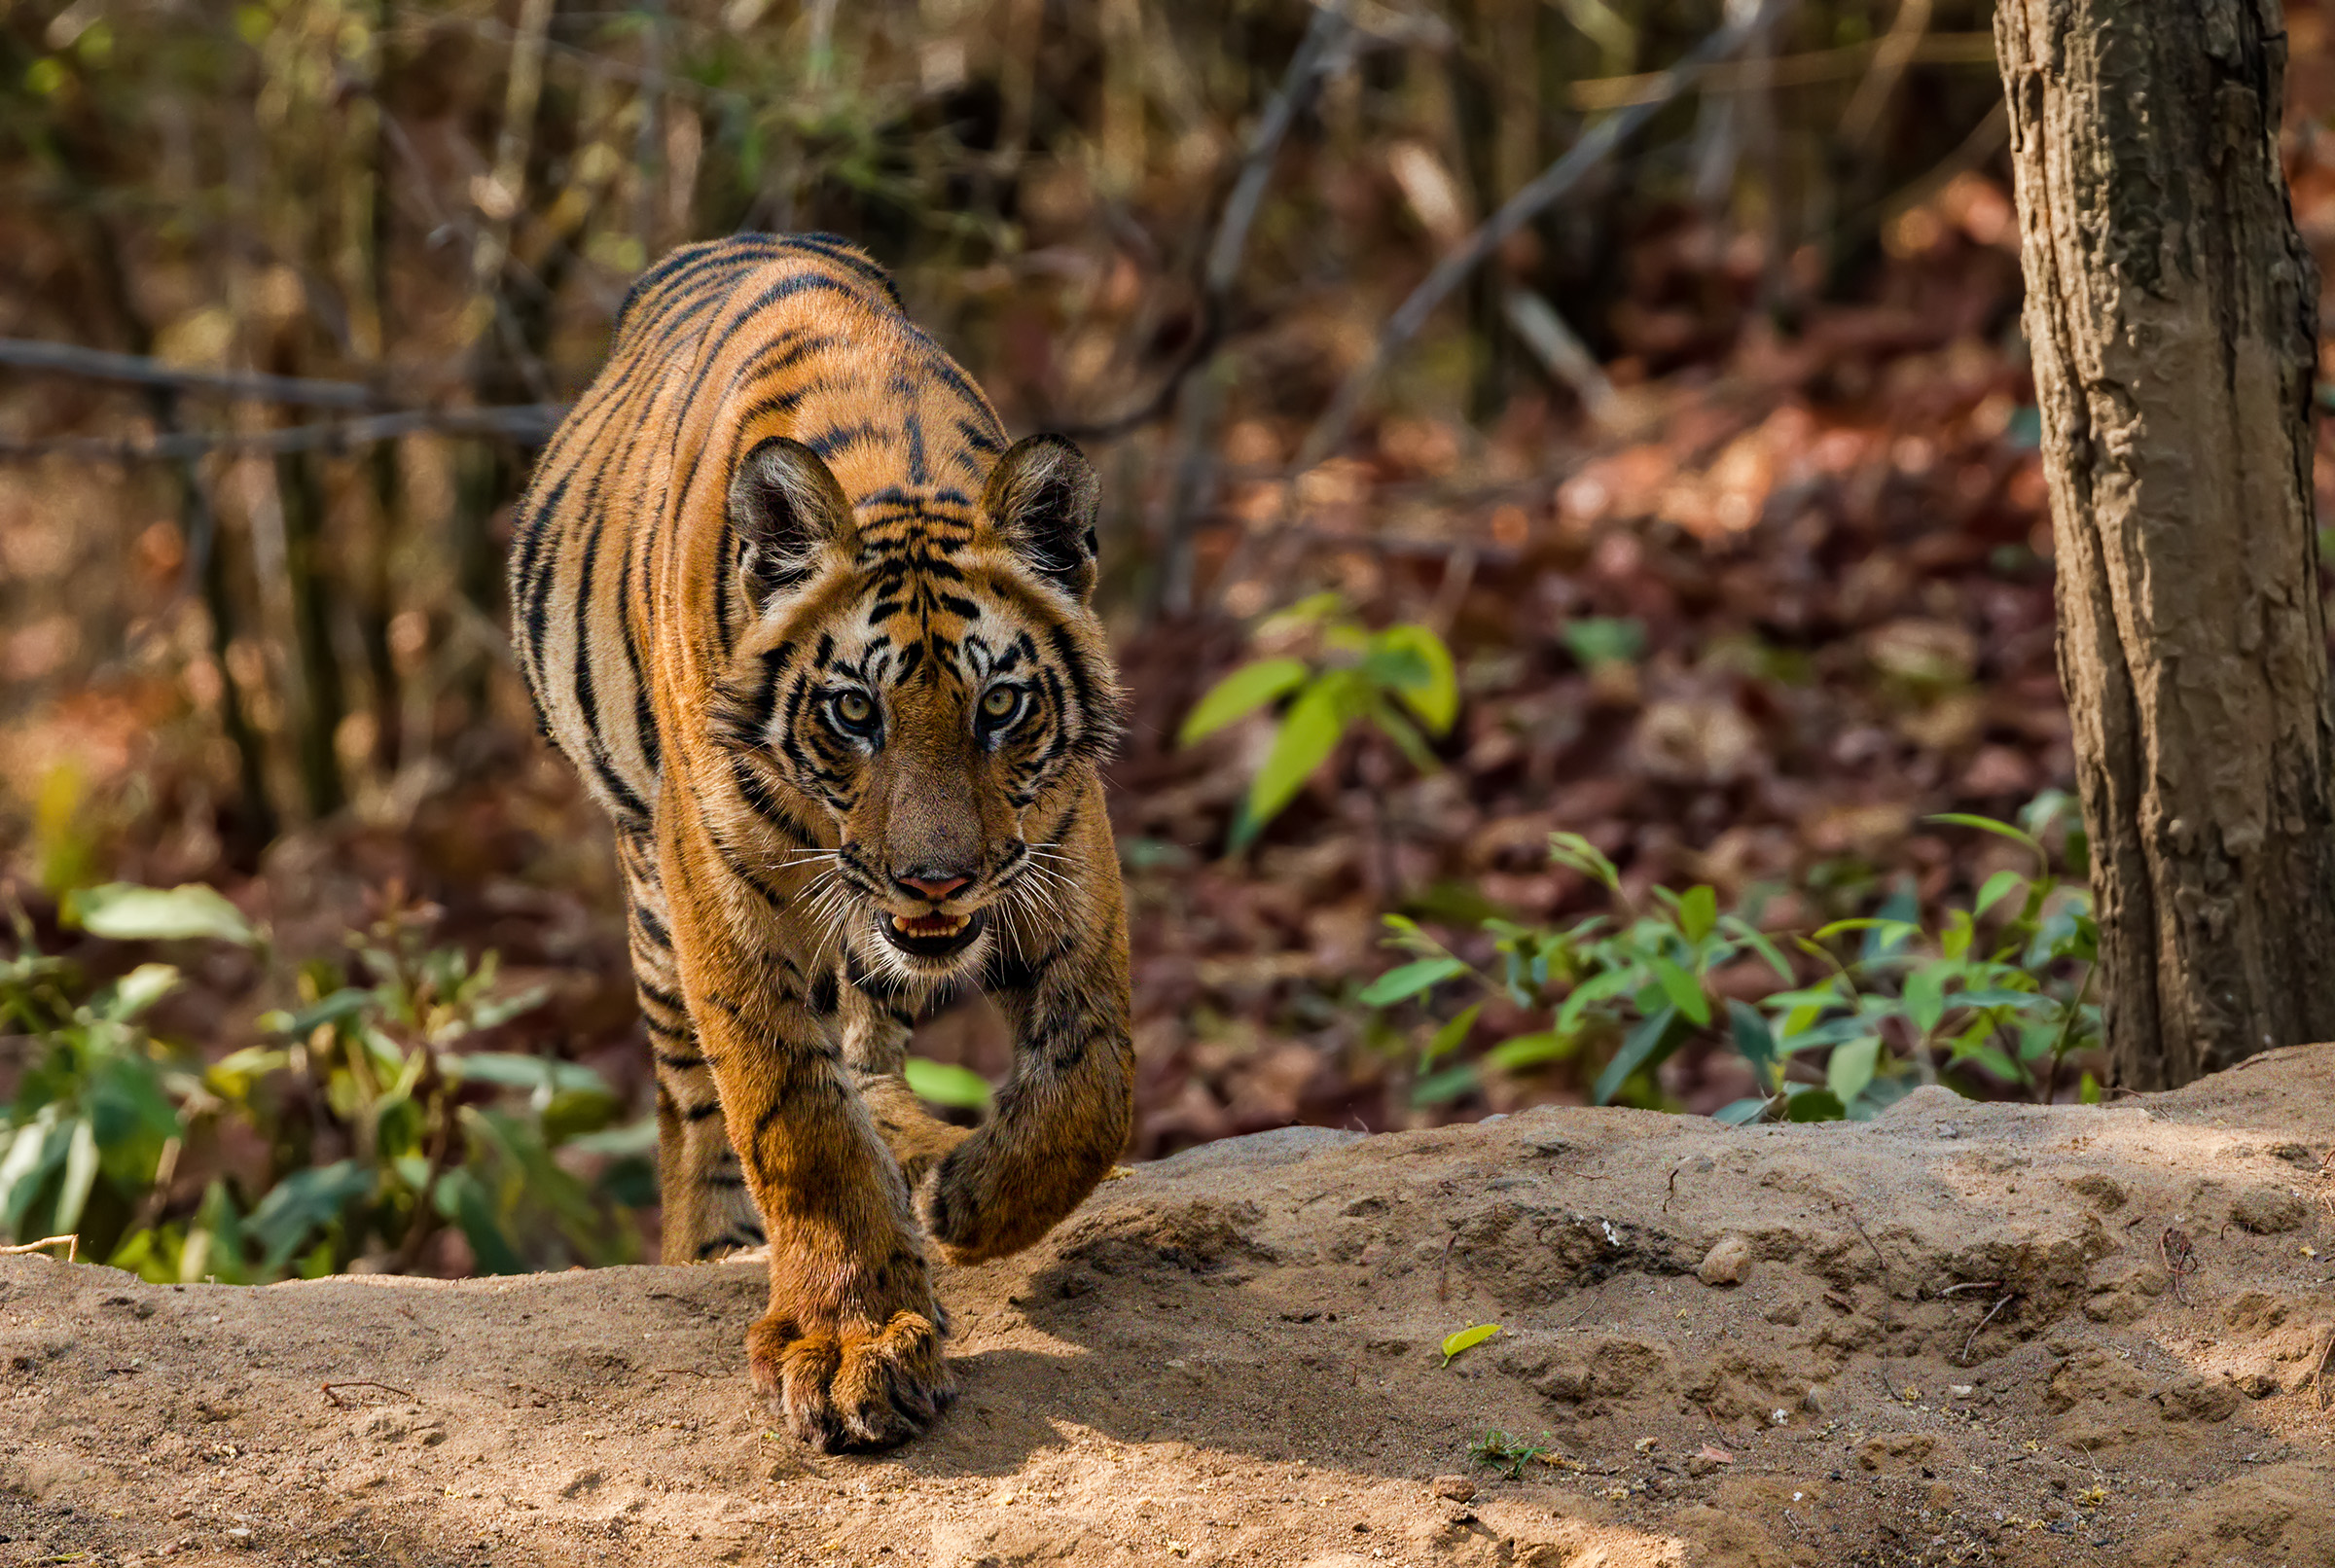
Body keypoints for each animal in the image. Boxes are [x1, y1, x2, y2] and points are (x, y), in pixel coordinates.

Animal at [506, 232, 1134, 1452]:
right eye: (854, 711)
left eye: (1000, 706)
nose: (936, 877)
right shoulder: (717, 877)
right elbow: (791, 1115)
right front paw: (852, 1341)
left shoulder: (1063, 849)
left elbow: (1093, 1086)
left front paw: (970, 1201)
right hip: (650, 897)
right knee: (695, 1106)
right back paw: (724, 1241)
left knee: (871, 1043)